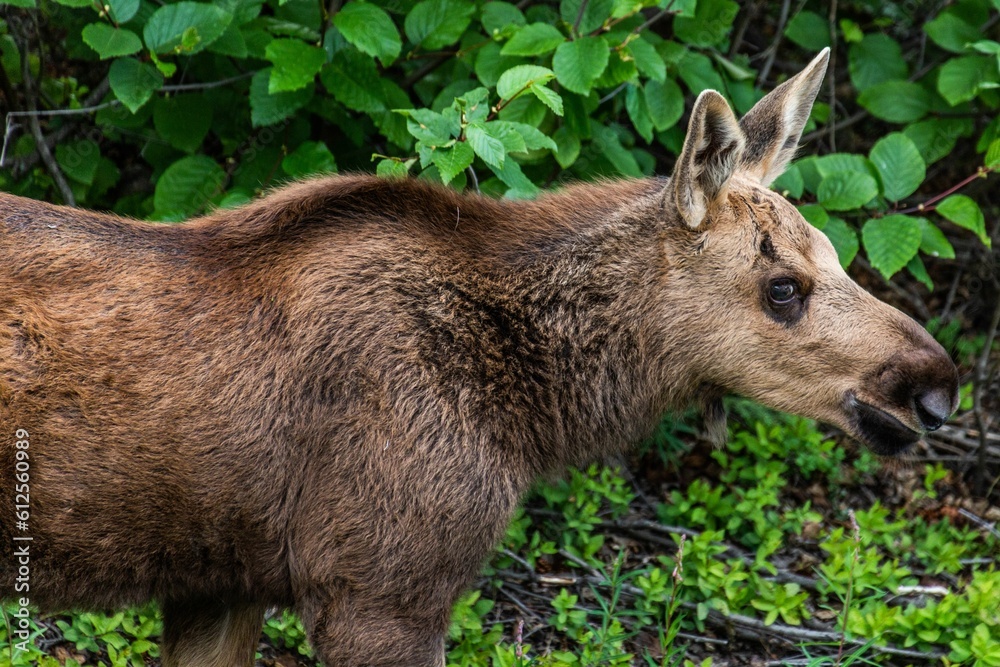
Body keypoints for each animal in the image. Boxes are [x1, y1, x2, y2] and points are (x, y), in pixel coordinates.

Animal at [0, 48, 958, 666]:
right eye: (783, 287)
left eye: (833, 252)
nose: (937, 388)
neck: (536, 416)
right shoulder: (380, 585)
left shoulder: (220, 583)